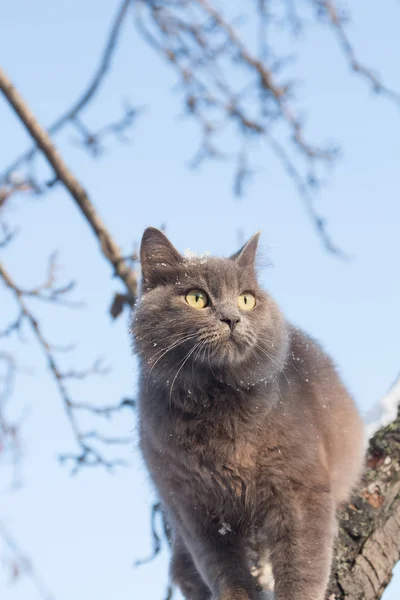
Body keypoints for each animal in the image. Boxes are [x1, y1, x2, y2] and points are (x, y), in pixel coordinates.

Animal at [132, 229, 366, 600]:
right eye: (196, 298)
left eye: (245, 300)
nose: (232, 318)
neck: (216, 405)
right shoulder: (192, 508)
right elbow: (222, 567)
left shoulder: (300, 489)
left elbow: (302, 565)